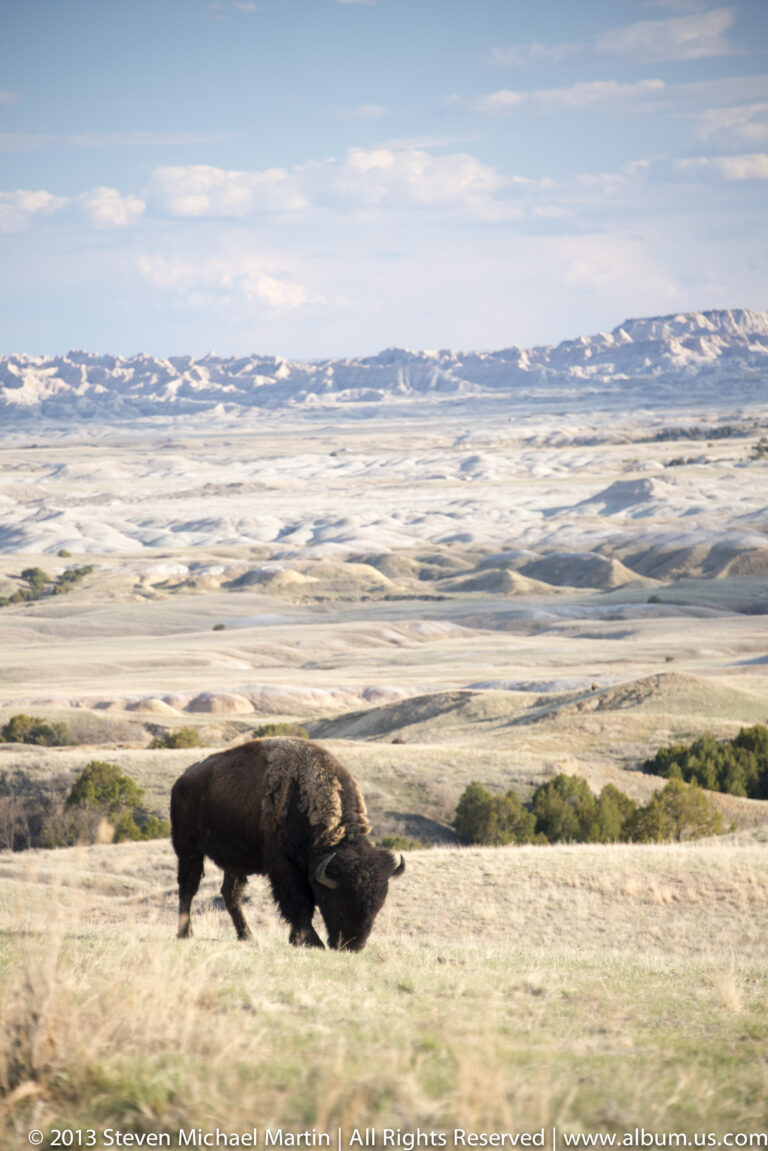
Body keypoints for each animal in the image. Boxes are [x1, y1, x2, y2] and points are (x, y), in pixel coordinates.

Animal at [170, 737, 404, 951]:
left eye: (378, 905)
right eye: (338, 903)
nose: (352, 945)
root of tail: (182, 780)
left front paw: (297, 940)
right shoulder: (284, 868)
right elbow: (298, 902)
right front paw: (311, 941)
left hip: (234, 863)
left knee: (231, 894)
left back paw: (247, 936)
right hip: (188, 850)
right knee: (188, 887)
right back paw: (185, 933)